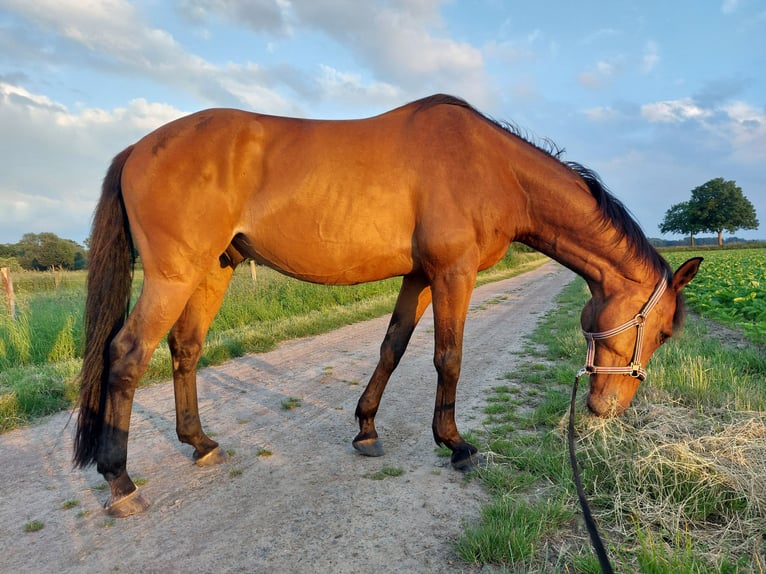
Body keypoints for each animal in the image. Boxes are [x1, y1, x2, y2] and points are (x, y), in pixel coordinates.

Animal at [75, 94, 704, 516]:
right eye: (664, 332)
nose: (607, 408)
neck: (493, 166)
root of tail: (137, 147)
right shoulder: (453, 274)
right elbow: (448, 358)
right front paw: (456, 445)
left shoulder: (419, 276)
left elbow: (392, 348)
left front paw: (366, 430)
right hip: (173, 275)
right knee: (127, 355)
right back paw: (120, 482)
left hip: (212, 271)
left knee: (185, 348)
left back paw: (200, 444)